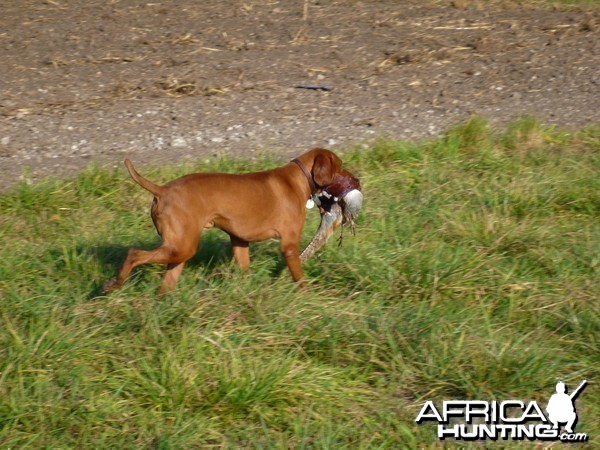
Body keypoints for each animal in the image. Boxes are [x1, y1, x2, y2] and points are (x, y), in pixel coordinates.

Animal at [104, 149, 342, 292]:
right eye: (340, 166)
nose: (351, 177)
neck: (296, 179)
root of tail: (162, 190)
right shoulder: (290, 246)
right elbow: (299, 278)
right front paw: (306, 296)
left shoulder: (240, 242)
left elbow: (245, 269)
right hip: (181, 248)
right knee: (133, 254)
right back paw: (114, 284)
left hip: (179, 250)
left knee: (166, 284)